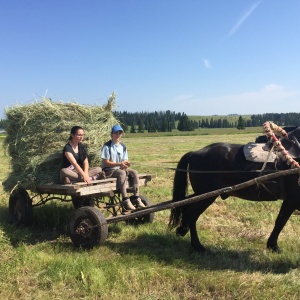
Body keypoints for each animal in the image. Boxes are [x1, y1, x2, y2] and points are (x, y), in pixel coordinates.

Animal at [169, 125, 300, 252]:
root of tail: (195, 153)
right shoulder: (292, 200)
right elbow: (281, 221)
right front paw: (273, 245)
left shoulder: (291, 201)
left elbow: (280, 221)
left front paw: (272, 245)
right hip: (206, 195)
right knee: (192, 215)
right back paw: (197, 245)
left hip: (201, 194)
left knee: (186, 206)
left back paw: (182, 230)